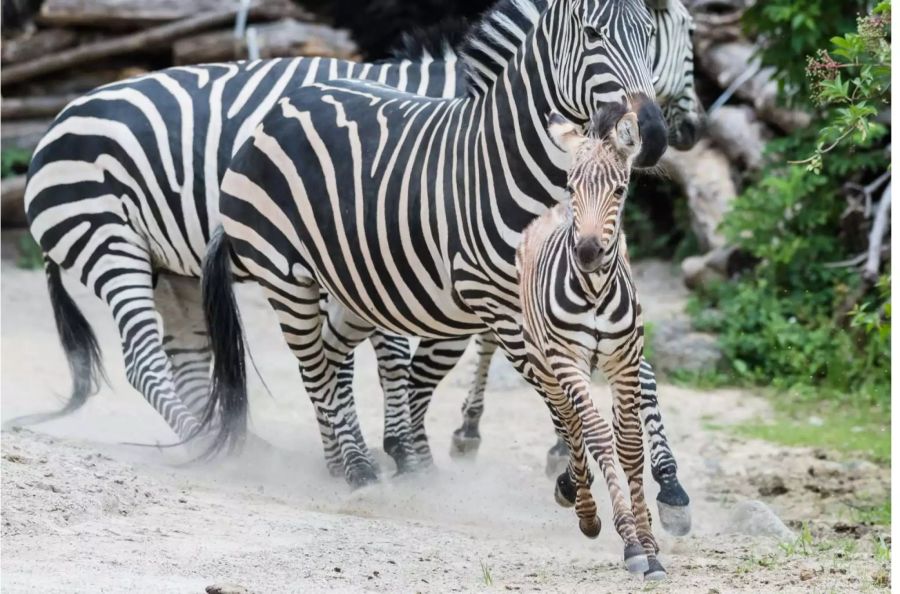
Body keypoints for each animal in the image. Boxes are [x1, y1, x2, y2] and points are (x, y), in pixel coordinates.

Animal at [520, 104, 684, 576]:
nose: (588, 252)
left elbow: (628, 446)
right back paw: (586, 511)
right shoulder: (567, 361)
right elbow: (595, 435)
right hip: (544, 364)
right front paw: (629, 543)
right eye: (572, 186)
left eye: (621, 188)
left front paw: (648, 544)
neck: (593, 290)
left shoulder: (624, 362)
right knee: (572, 424)